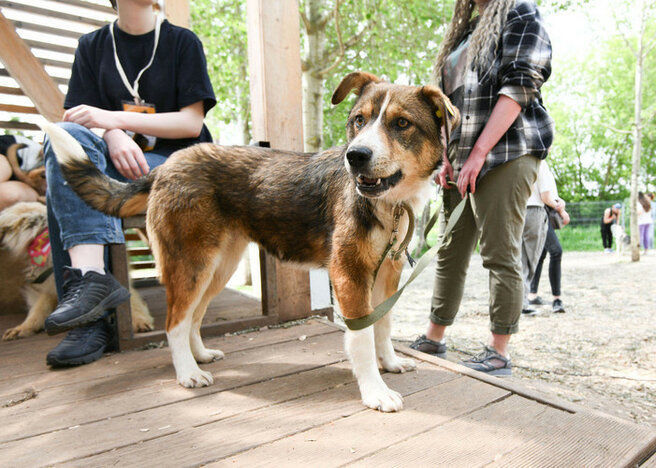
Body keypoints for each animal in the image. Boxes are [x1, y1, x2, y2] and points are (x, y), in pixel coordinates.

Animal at [0, 201, 155, 340]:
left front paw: (139, 321)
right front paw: (23, 328)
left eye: (4, 228)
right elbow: (38, 310)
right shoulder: (48, 289)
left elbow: (131, 302)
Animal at [41, 71, 458, 412]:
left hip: (218, 266)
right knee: (175, 321)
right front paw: (375, 391)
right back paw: (187, 374)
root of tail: (166, 167)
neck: (390, 204)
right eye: (359, 120)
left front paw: (390, 363)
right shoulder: (349, 274)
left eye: (401, 123)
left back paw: (199, 356)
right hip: (191, 263)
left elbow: (382, 326)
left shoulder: (388, 272)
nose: (356, 156)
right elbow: (362, 338)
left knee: (193, 317)